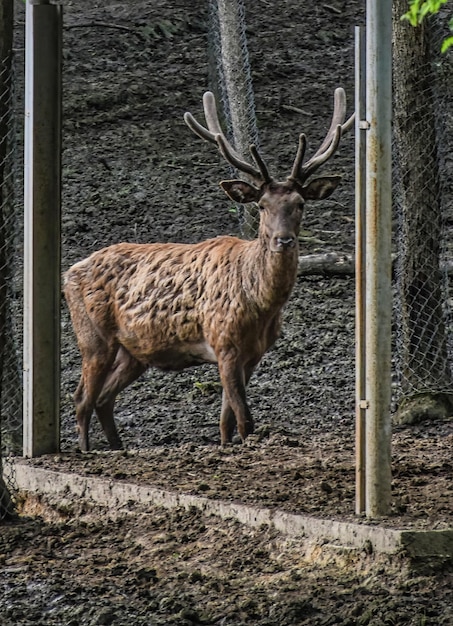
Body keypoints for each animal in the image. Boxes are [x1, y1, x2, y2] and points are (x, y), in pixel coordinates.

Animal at [63, 86, 354, 448]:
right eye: (262, 205)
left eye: (300, 203)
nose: (283, 240)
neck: (259, 304)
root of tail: (69, 273)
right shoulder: (223, 341)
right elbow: (244, 420)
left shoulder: (253, 353)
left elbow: (226, 420)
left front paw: (227, 444)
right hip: (93, 337)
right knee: (81, 399)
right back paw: (88, 450)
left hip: (134, 351)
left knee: (104, 398)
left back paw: (117, 448)